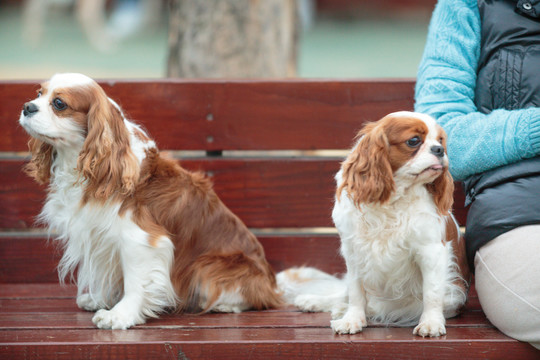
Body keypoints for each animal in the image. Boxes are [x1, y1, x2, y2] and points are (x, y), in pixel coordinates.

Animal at [278, 112, 468, 338]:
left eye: (440, 141)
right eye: (413, 141)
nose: (439, 150)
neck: (393, 200)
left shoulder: (431, 251)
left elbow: (432, 292)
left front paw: (431, 322)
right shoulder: (354, 252)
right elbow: (355, 292)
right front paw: (352, 319)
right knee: (344, 294)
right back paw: (316, 302)